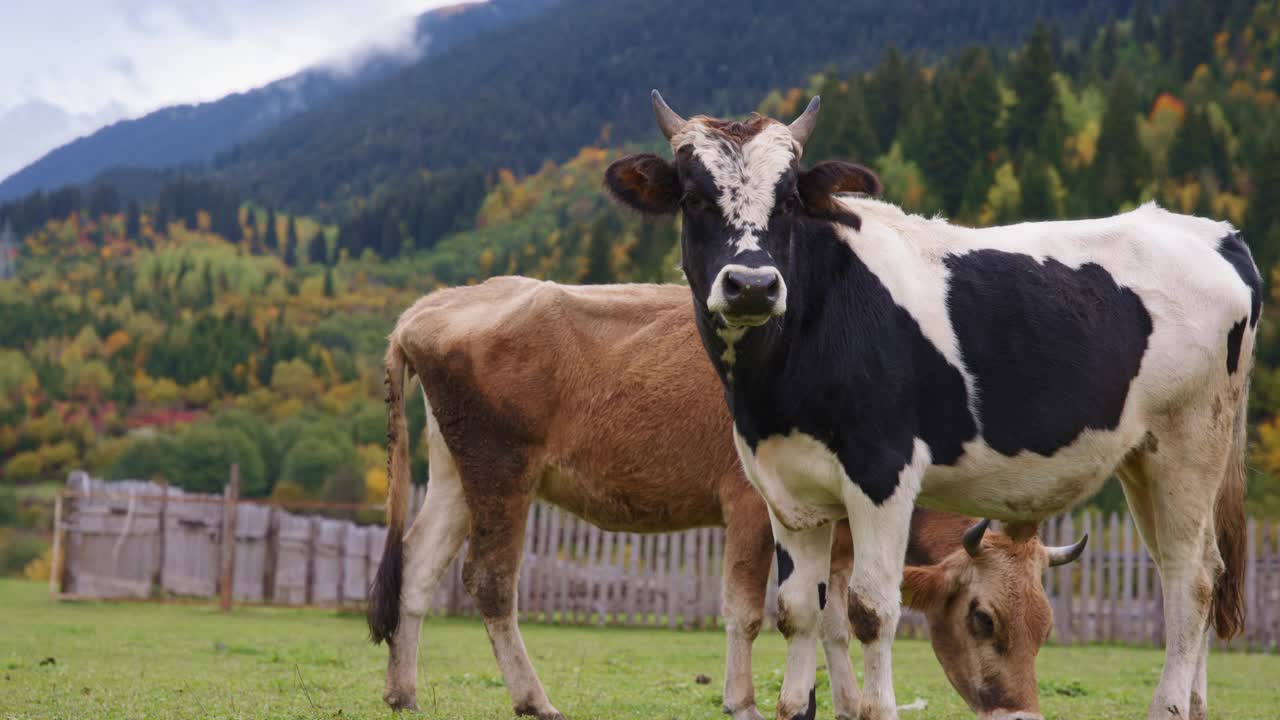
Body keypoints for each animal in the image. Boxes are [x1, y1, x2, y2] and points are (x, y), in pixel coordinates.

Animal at [366, 275, 1085, 717]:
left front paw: (847, 704)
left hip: (456, 476)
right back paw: (533, 699)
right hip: (502, 471)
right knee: (489, 581)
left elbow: (835, 620)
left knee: (418, 567)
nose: (1024, 712)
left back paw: (403, 693)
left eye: (1046, 626)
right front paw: (744, 701)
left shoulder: (841, 529)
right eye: (983, 619)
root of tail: (431, 308)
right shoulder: (749, 506)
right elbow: (746, 610)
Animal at [604, 94, 1254, 717]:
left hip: (1190, 443)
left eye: (788, 200)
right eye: (692, 197)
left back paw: (1170, 706)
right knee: (1192, 568)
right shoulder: (787, 492)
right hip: (1143, 459)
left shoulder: (882, 474)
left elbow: (870, 611)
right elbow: (797, 611)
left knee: (1192, 580)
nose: (753, 286)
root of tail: (1213, 232)